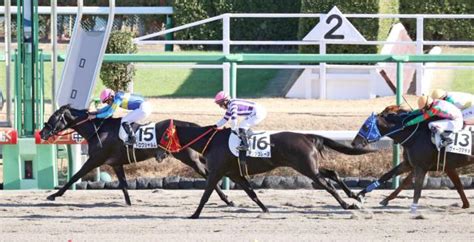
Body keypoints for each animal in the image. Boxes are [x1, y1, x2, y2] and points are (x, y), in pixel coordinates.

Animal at [39, 104, 235, 206]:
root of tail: (191, 126)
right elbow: (124, 184)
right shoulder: (116, 163)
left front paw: (54, 195)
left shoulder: (95, 159)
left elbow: (75, 176)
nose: (42, 133)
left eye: (53, 118)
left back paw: (227, 200)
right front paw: (128, 202)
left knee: (208, 175)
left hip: (189, 158)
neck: (99, 130)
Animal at [156, 119, 378, 219]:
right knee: (332, 173)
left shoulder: (216, 172)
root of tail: (307, 136)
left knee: (327, 185)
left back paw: (347, 204)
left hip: (307, 168)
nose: (158, 155)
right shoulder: (234, 174)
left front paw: (194, 214)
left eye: (164, 135)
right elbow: (252, 193)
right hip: (310, 165)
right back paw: (355, 196)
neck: (211, 142)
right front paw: (265, 209)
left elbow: (205, 194)